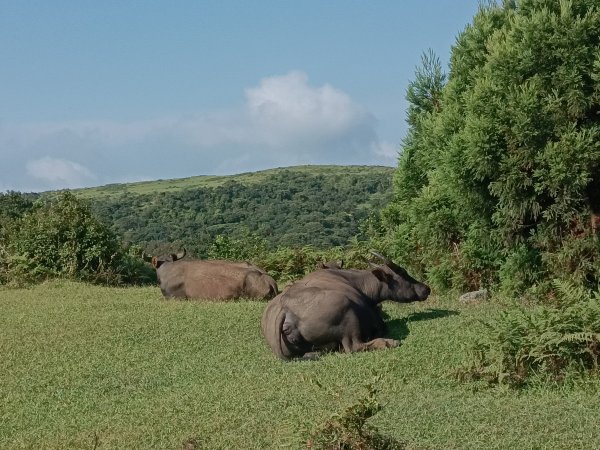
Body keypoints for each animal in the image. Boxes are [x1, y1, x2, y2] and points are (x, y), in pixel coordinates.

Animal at [260, 251, 428, 360]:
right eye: (403, 273)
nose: (426, 288)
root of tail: (285, 308)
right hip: (347, 313)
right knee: (353, 346)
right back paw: (389, 342)